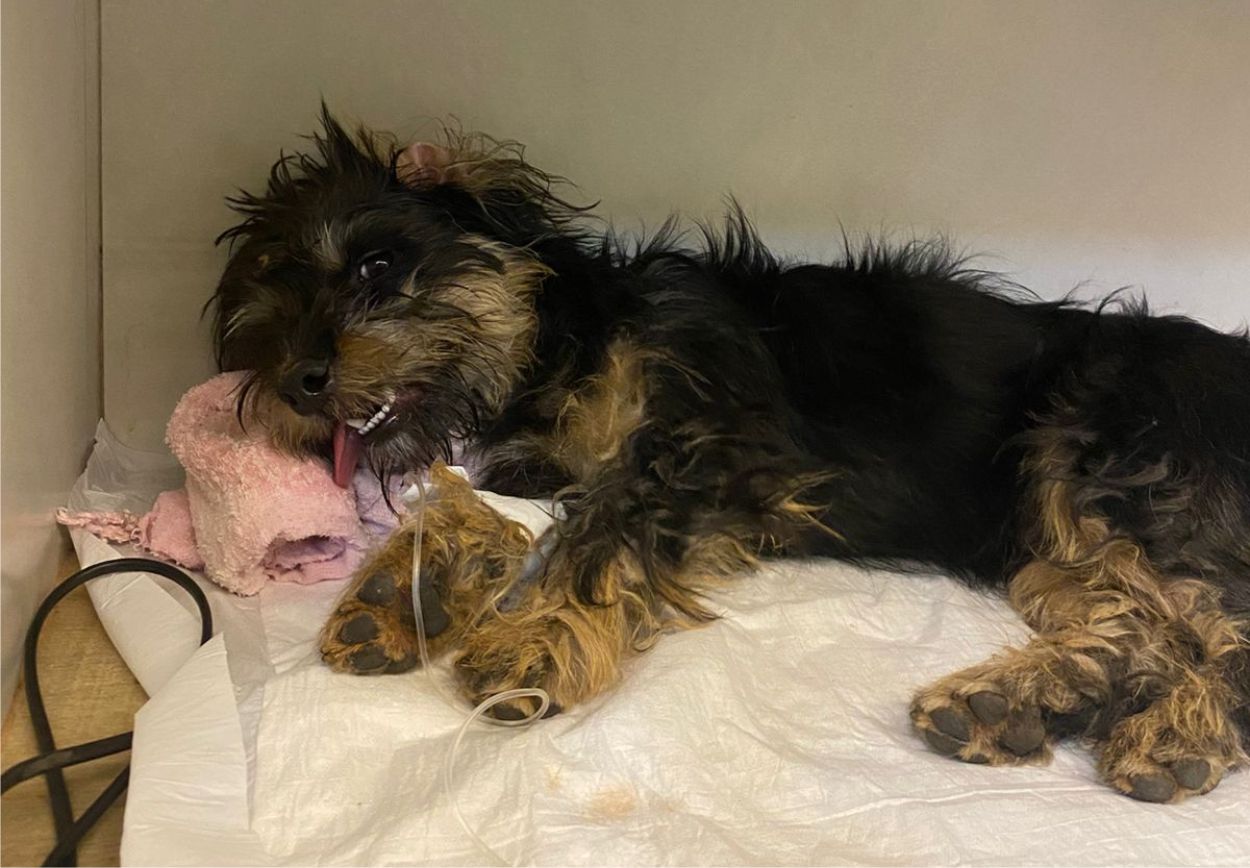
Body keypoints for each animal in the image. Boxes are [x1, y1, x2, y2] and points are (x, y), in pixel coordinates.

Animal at [210, 109, 1250, 803]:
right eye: (272, 300)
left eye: (379, 266)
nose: (295, 378)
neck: (571, 341)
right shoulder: (541, 468)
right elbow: (490, 506)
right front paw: (407, 591)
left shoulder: (705, 444)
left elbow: (604, 535)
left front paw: (534, 639)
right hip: (1052, 543)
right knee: (1139, 627)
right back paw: (1016, 705)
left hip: (1109, 465)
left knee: (1213, 626)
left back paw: (1173, 735)